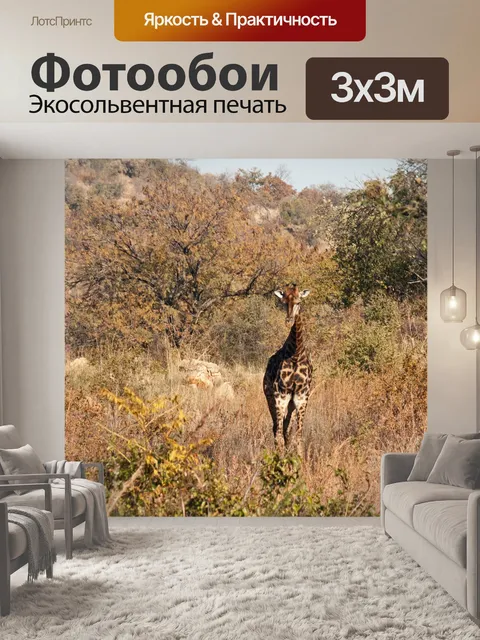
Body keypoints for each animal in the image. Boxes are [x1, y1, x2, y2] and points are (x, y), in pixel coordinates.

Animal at [263, 284, 313, 451]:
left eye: (298, 302)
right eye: (284, 303)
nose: (288, 321)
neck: (296, 354)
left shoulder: (301, 396)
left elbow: (298, 437)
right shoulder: (280, 395)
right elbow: (278, 435)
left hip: (290, 402)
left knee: (285, 429)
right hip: (270, 397)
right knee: (276, 429)